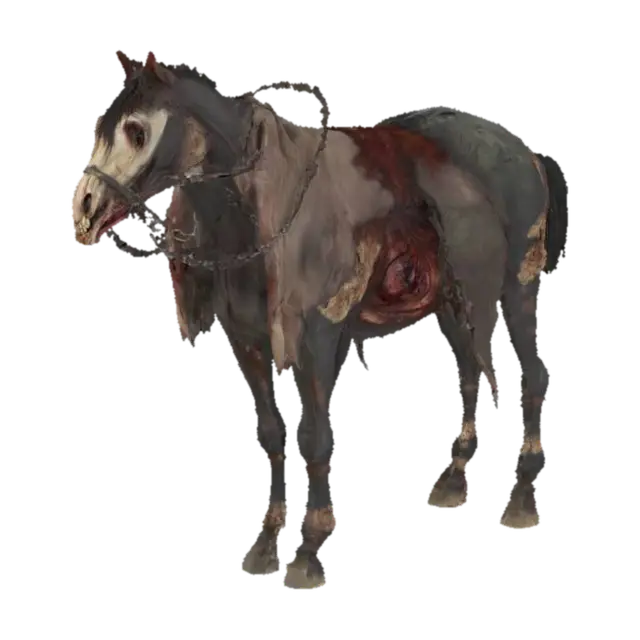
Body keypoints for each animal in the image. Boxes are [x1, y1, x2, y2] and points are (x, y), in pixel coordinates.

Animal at [69, 50, 568, 590]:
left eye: (138, 131)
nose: (84, 209)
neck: (262, 208)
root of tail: (523, 153)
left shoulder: (315, 343)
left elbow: (314, 440)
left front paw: (308, 555)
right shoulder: (248, 343)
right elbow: (271, 435)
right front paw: (265, 549)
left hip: (517, 290)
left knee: (533, 375)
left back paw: (521, 503)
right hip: (456, 306)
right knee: (469, 376)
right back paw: (454, 484)